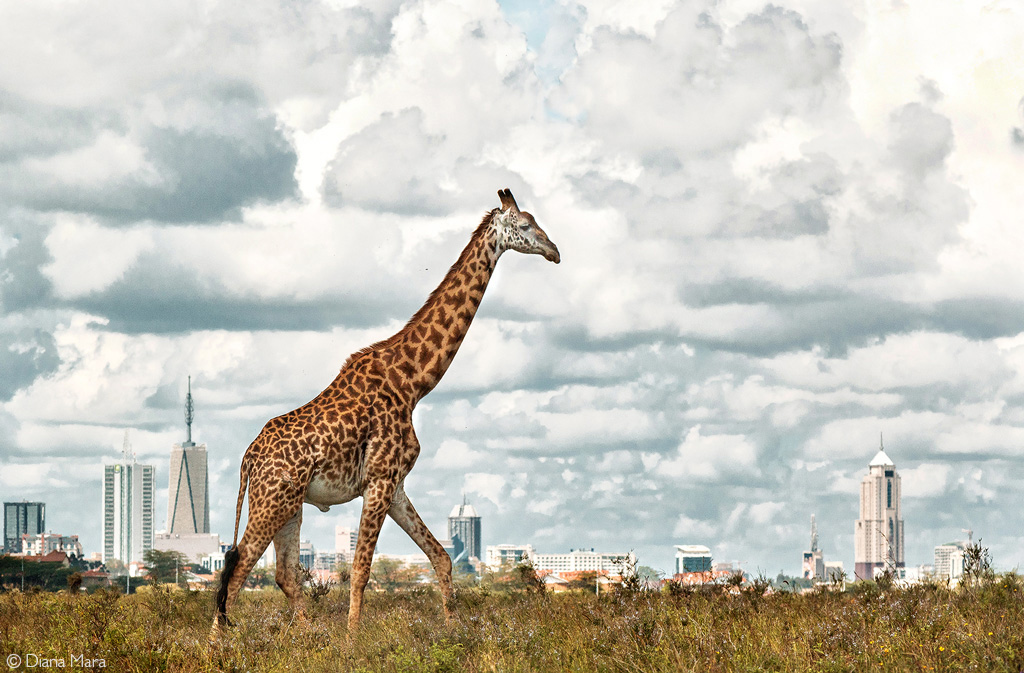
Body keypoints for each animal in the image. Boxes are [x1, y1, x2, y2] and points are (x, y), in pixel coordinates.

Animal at [209, 187, 561, 635]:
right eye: (527, 224)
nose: (555, 251)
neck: (413, 383)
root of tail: (249, 457)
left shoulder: (395, 485)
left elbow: (441, 557)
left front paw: (453, 629)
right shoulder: (378, 481)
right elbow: (361, 570)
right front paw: (352, 640)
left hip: (289, 506)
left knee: (284, 574)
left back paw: (306, 637)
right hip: (272, 501)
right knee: (236, 571)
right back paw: (220, 645)